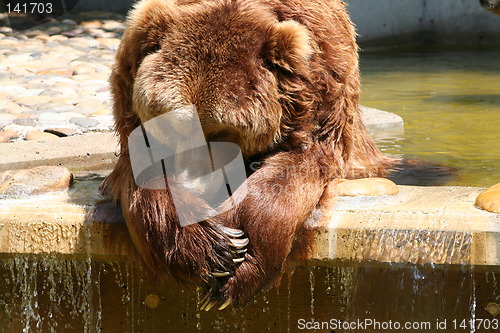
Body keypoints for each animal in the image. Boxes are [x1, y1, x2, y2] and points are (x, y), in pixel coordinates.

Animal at [100, 0, 398, 310]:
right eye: (173, 124)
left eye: (221, 132)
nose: (193, 184)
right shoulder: (130, 109)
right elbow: (145, 176)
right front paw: (214, 247)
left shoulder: (323, 103)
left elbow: (292, 172)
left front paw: (241, 261)